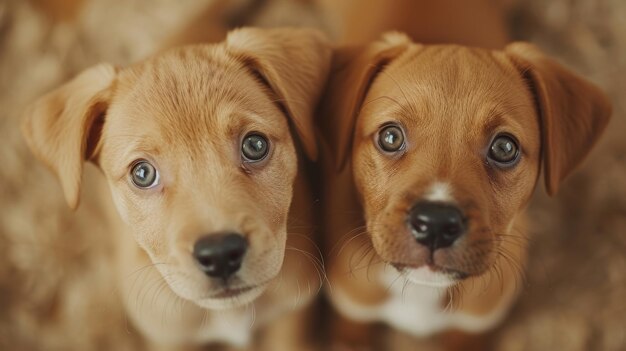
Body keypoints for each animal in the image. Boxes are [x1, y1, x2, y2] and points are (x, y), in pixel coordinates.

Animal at [320, 32, 612, 350]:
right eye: (390, 137)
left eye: (504, 147)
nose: (435, 224)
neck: (422, 291)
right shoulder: (352, 314)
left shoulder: (473, 328)